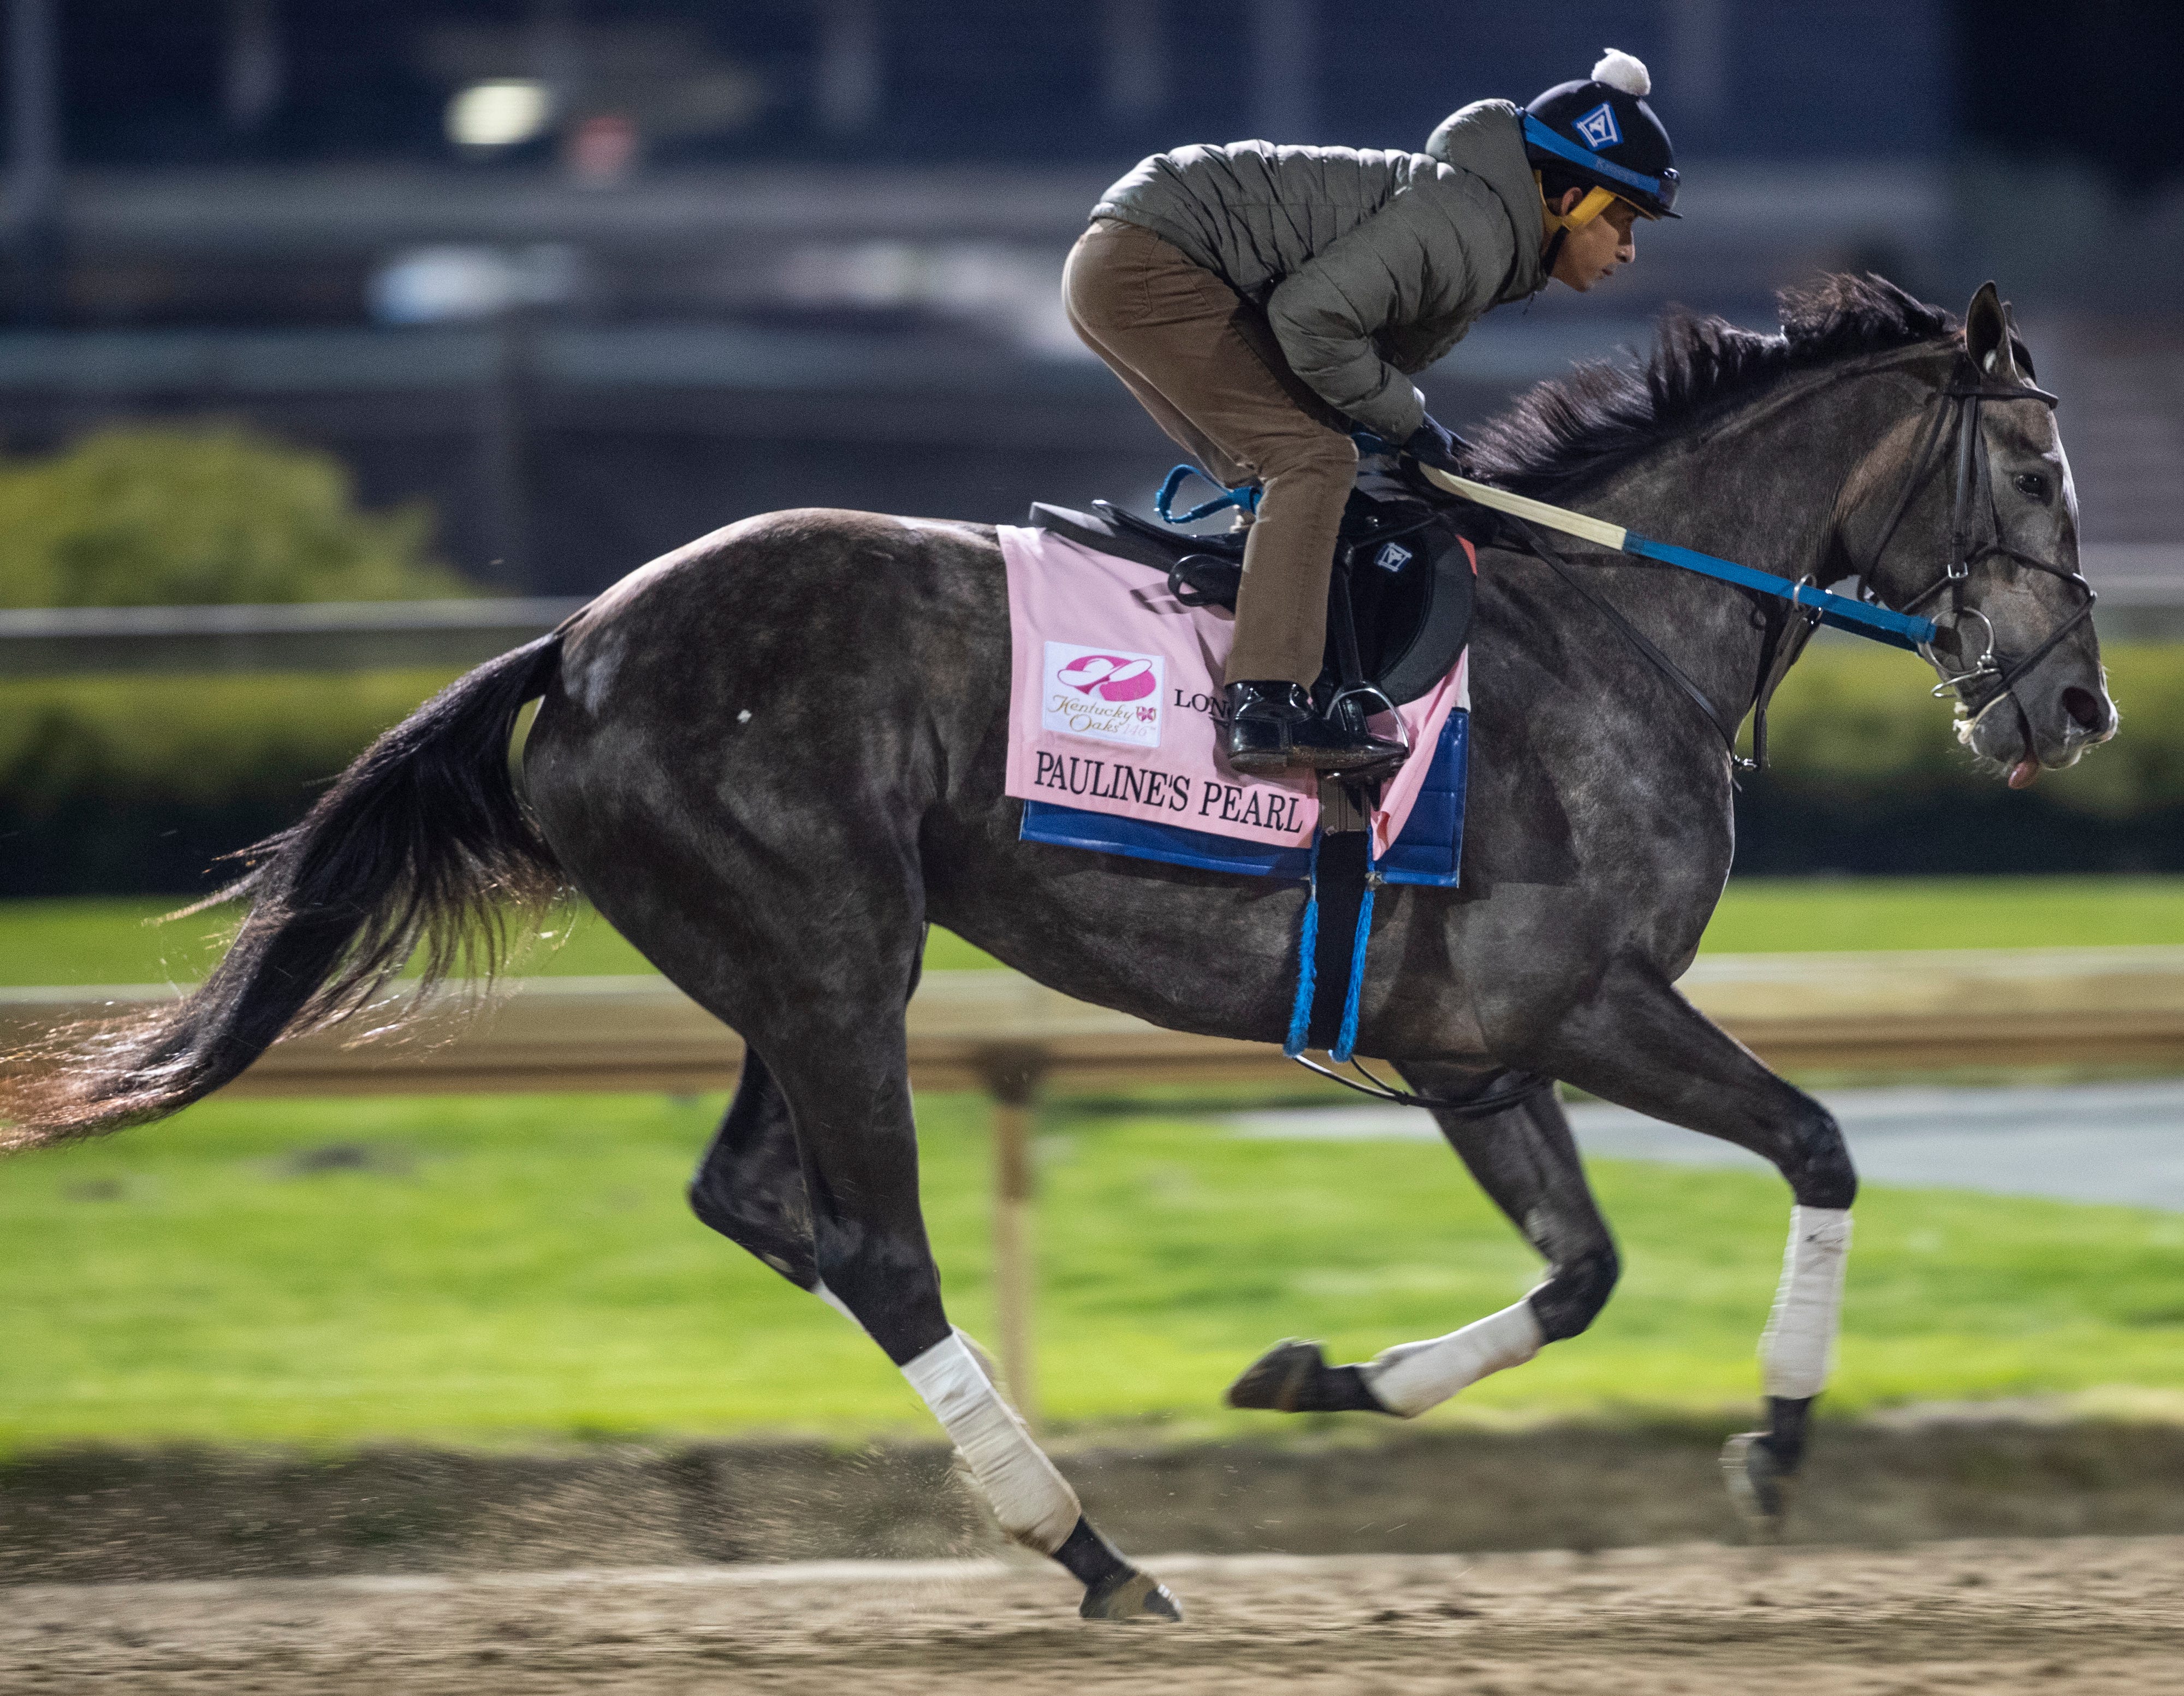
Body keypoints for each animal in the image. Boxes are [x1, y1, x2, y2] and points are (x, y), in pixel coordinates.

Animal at [1, 276, 2113, 1620]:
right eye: (2032, 475)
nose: (2080, 705)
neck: (1615, 628)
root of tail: (580, 639)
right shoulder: (1587, 999)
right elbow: (1820, 1144)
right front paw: (1776, 1438)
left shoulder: (1468, 1043)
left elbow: (1581, 1270)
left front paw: (1313, 1377)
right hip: (837, 960)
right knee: (876, 1243)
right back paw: (1089, 1549)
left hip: (793, 965)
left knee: (762, 1202)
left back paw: (1027, 1501)